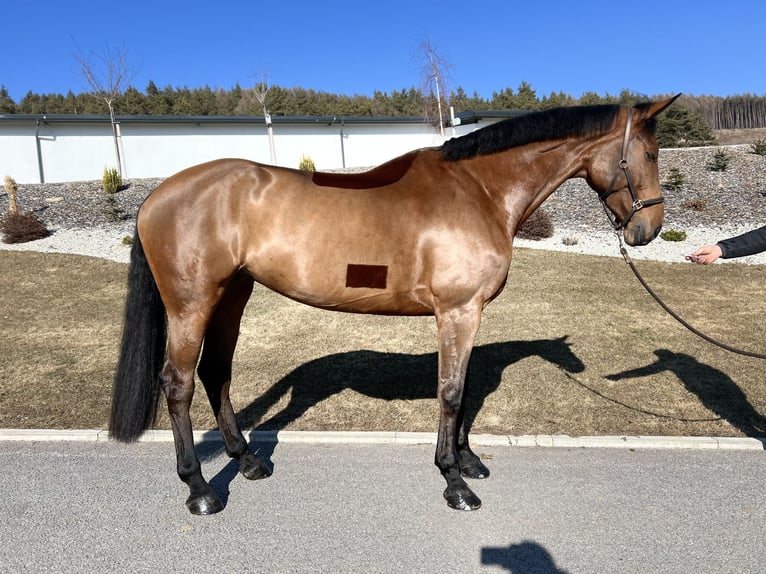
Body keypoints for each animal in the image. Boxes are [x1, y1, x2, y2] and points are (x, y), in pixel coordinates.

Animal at [109, 97, 680, 516]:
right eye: (651, 155)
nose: (648, 229)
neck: (479, 190)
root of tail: (157, 196)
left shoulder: (468, 314)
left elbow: (464, 389)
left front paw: (468, 461)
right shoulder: (458, 311)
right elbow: (451, 393)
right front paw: (454, 481)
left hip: (233, 295)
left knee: (216, 373)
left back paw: (247, 460)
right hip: (191, 304)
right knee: (179, 384)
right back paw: (200, 490)